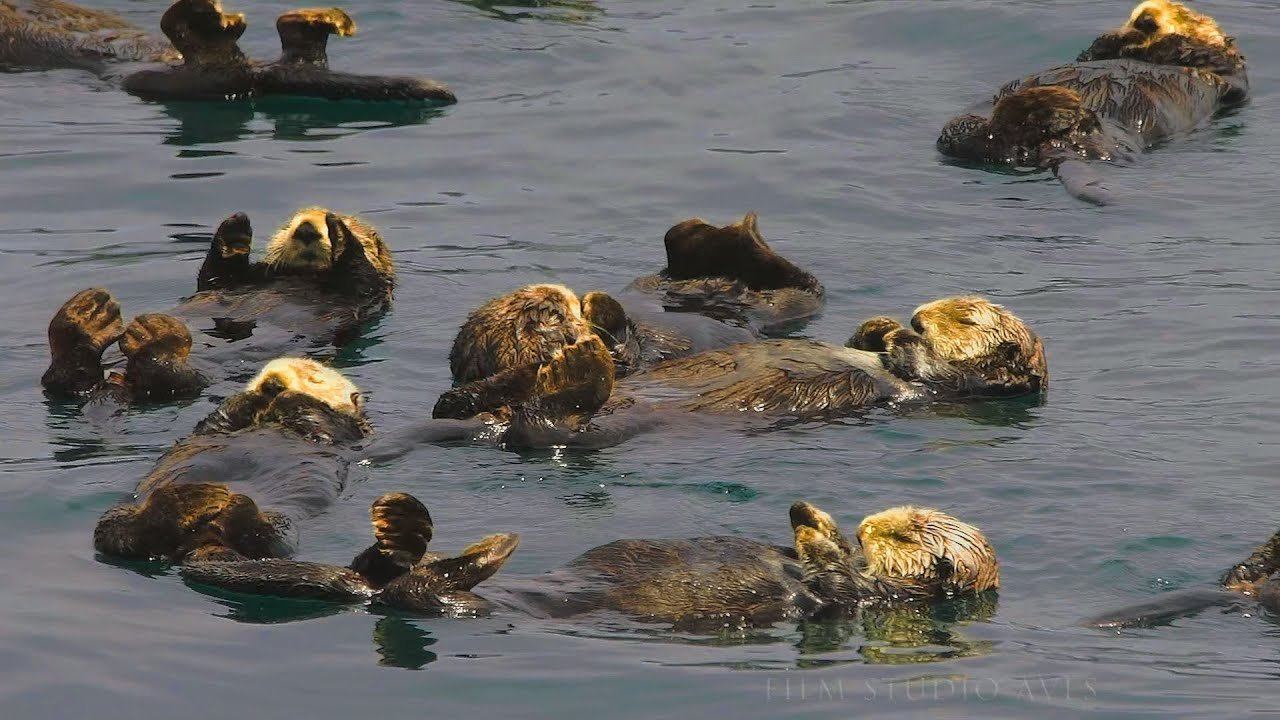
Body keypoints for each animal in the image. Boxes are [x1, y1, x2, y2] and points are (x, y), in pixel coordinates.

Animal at [41, 206, 393, 403]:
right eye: (289, 225)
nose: (306, 229)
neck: (302, 276)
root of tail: (114, 385)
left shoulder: (366, 292)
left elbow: (359, 269)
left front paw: (341, 232)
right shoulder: (231, 280)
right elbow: (215, 275)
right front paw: (234, 232)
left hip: (188, 382)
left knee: (168, 383)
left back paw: (154, 340)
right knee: (65, 380)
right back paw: (85, 319)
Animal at [93, 357, 371, 564]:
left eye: (314, 378)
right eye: (262, 372)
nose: (272, 382)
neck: (268, 419)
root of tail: (200, 539)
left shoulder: (344, 432)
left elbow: (321, 420)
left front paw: (287, 396)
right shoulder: (218, 427)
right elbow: (218, 419)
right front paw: (251, 396)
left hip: (283, 528)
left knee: (263, 541)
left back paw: (234, 504)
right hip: (118, 514)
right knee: (122, 535)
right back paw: (190, 499)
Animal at [447, 213, 820, 384]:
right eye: (552, 310)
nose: (559, 289)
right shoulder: (625, 362)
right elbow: (623, 344)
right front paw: (597, 303)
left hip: (666, 279)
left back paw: (700, 233)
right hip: (785, 301)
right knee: (794, 279)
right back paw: (740, 234)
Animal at [937, 0, 1246, 204]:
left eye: (1185, 15)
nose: (1145, 17)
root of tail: (1052, 145)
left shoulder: (1229, 78)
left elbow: (1207, 54)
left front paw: (1171, 40)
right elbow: (1093, 52)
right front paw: (1120, 36)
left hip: (1109, 144)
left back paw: (1056, 104)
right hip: (966, 127)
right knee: (970, 137)